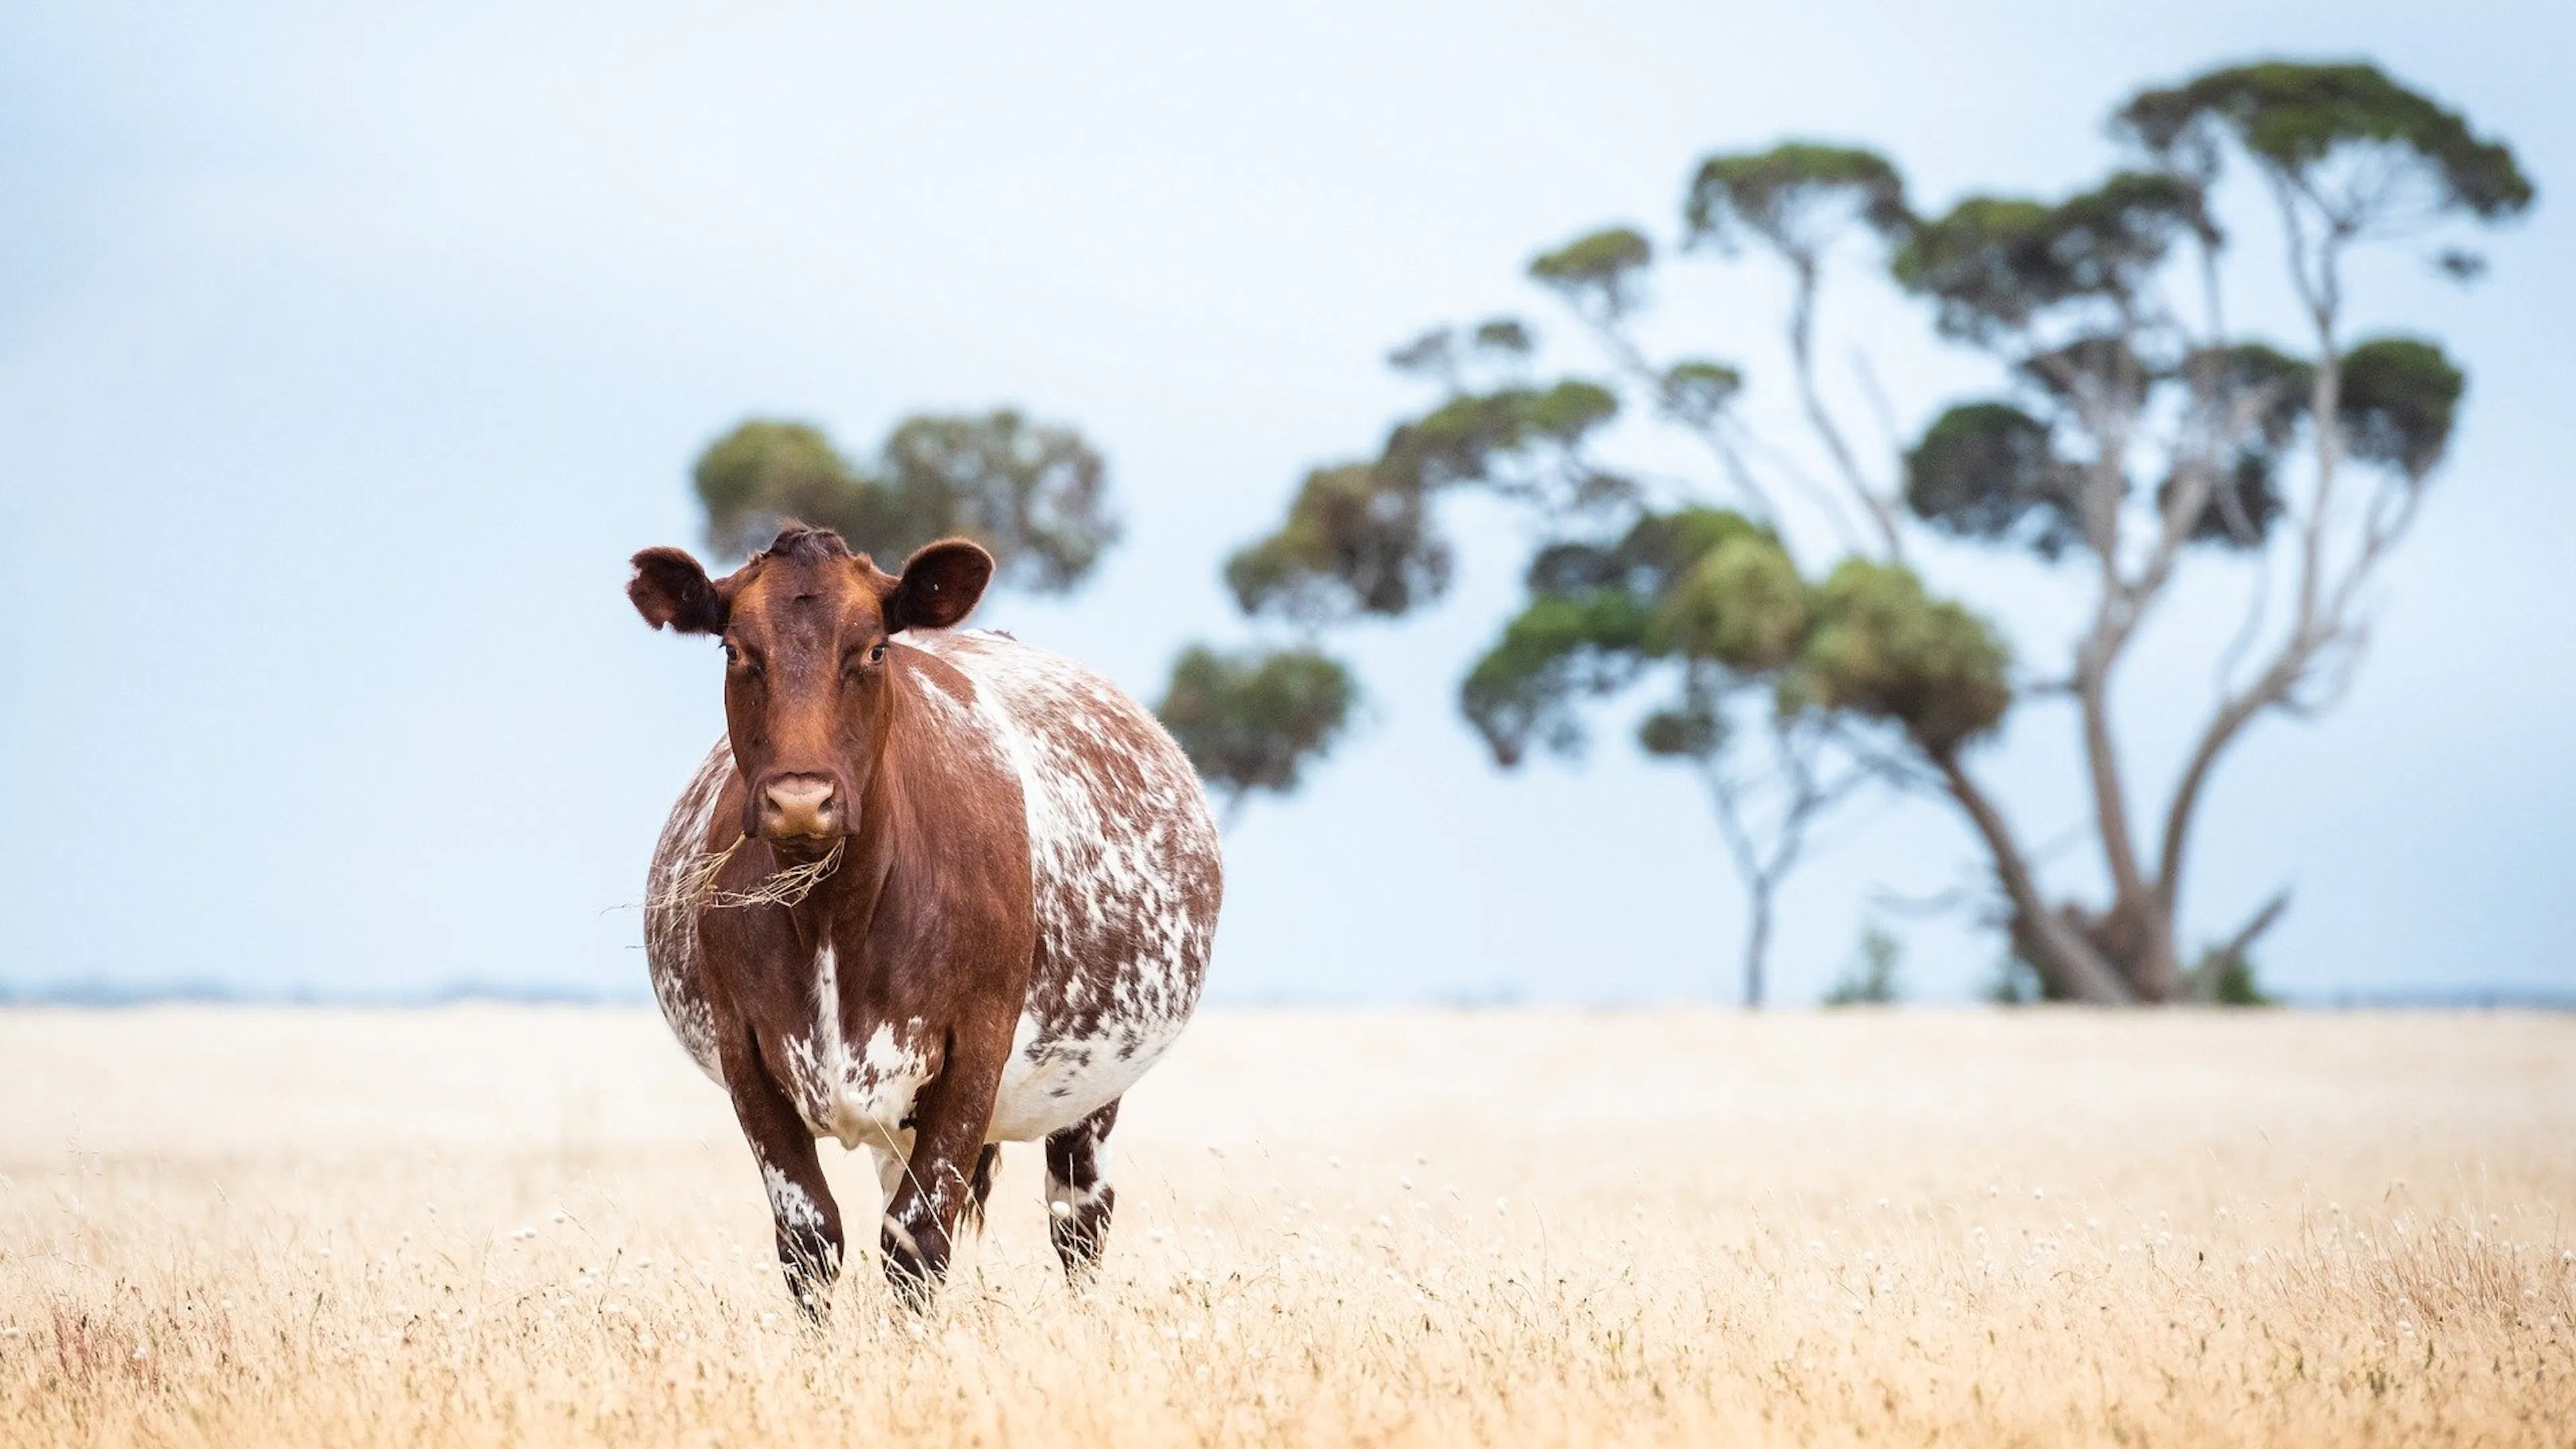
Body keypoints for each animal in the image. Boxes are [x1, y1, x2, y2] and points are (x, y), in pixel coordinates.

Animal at [625, 523, 1222, 1313]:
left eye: (875, 649)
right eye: (734, 650)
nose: (800, 801)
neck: (835, 915)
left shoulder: (976, 1050)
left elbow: (916, 1242)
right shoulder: (746, 1053)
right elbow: (810, 1241)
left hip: (1091, 1095)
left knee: (1079, 1219)